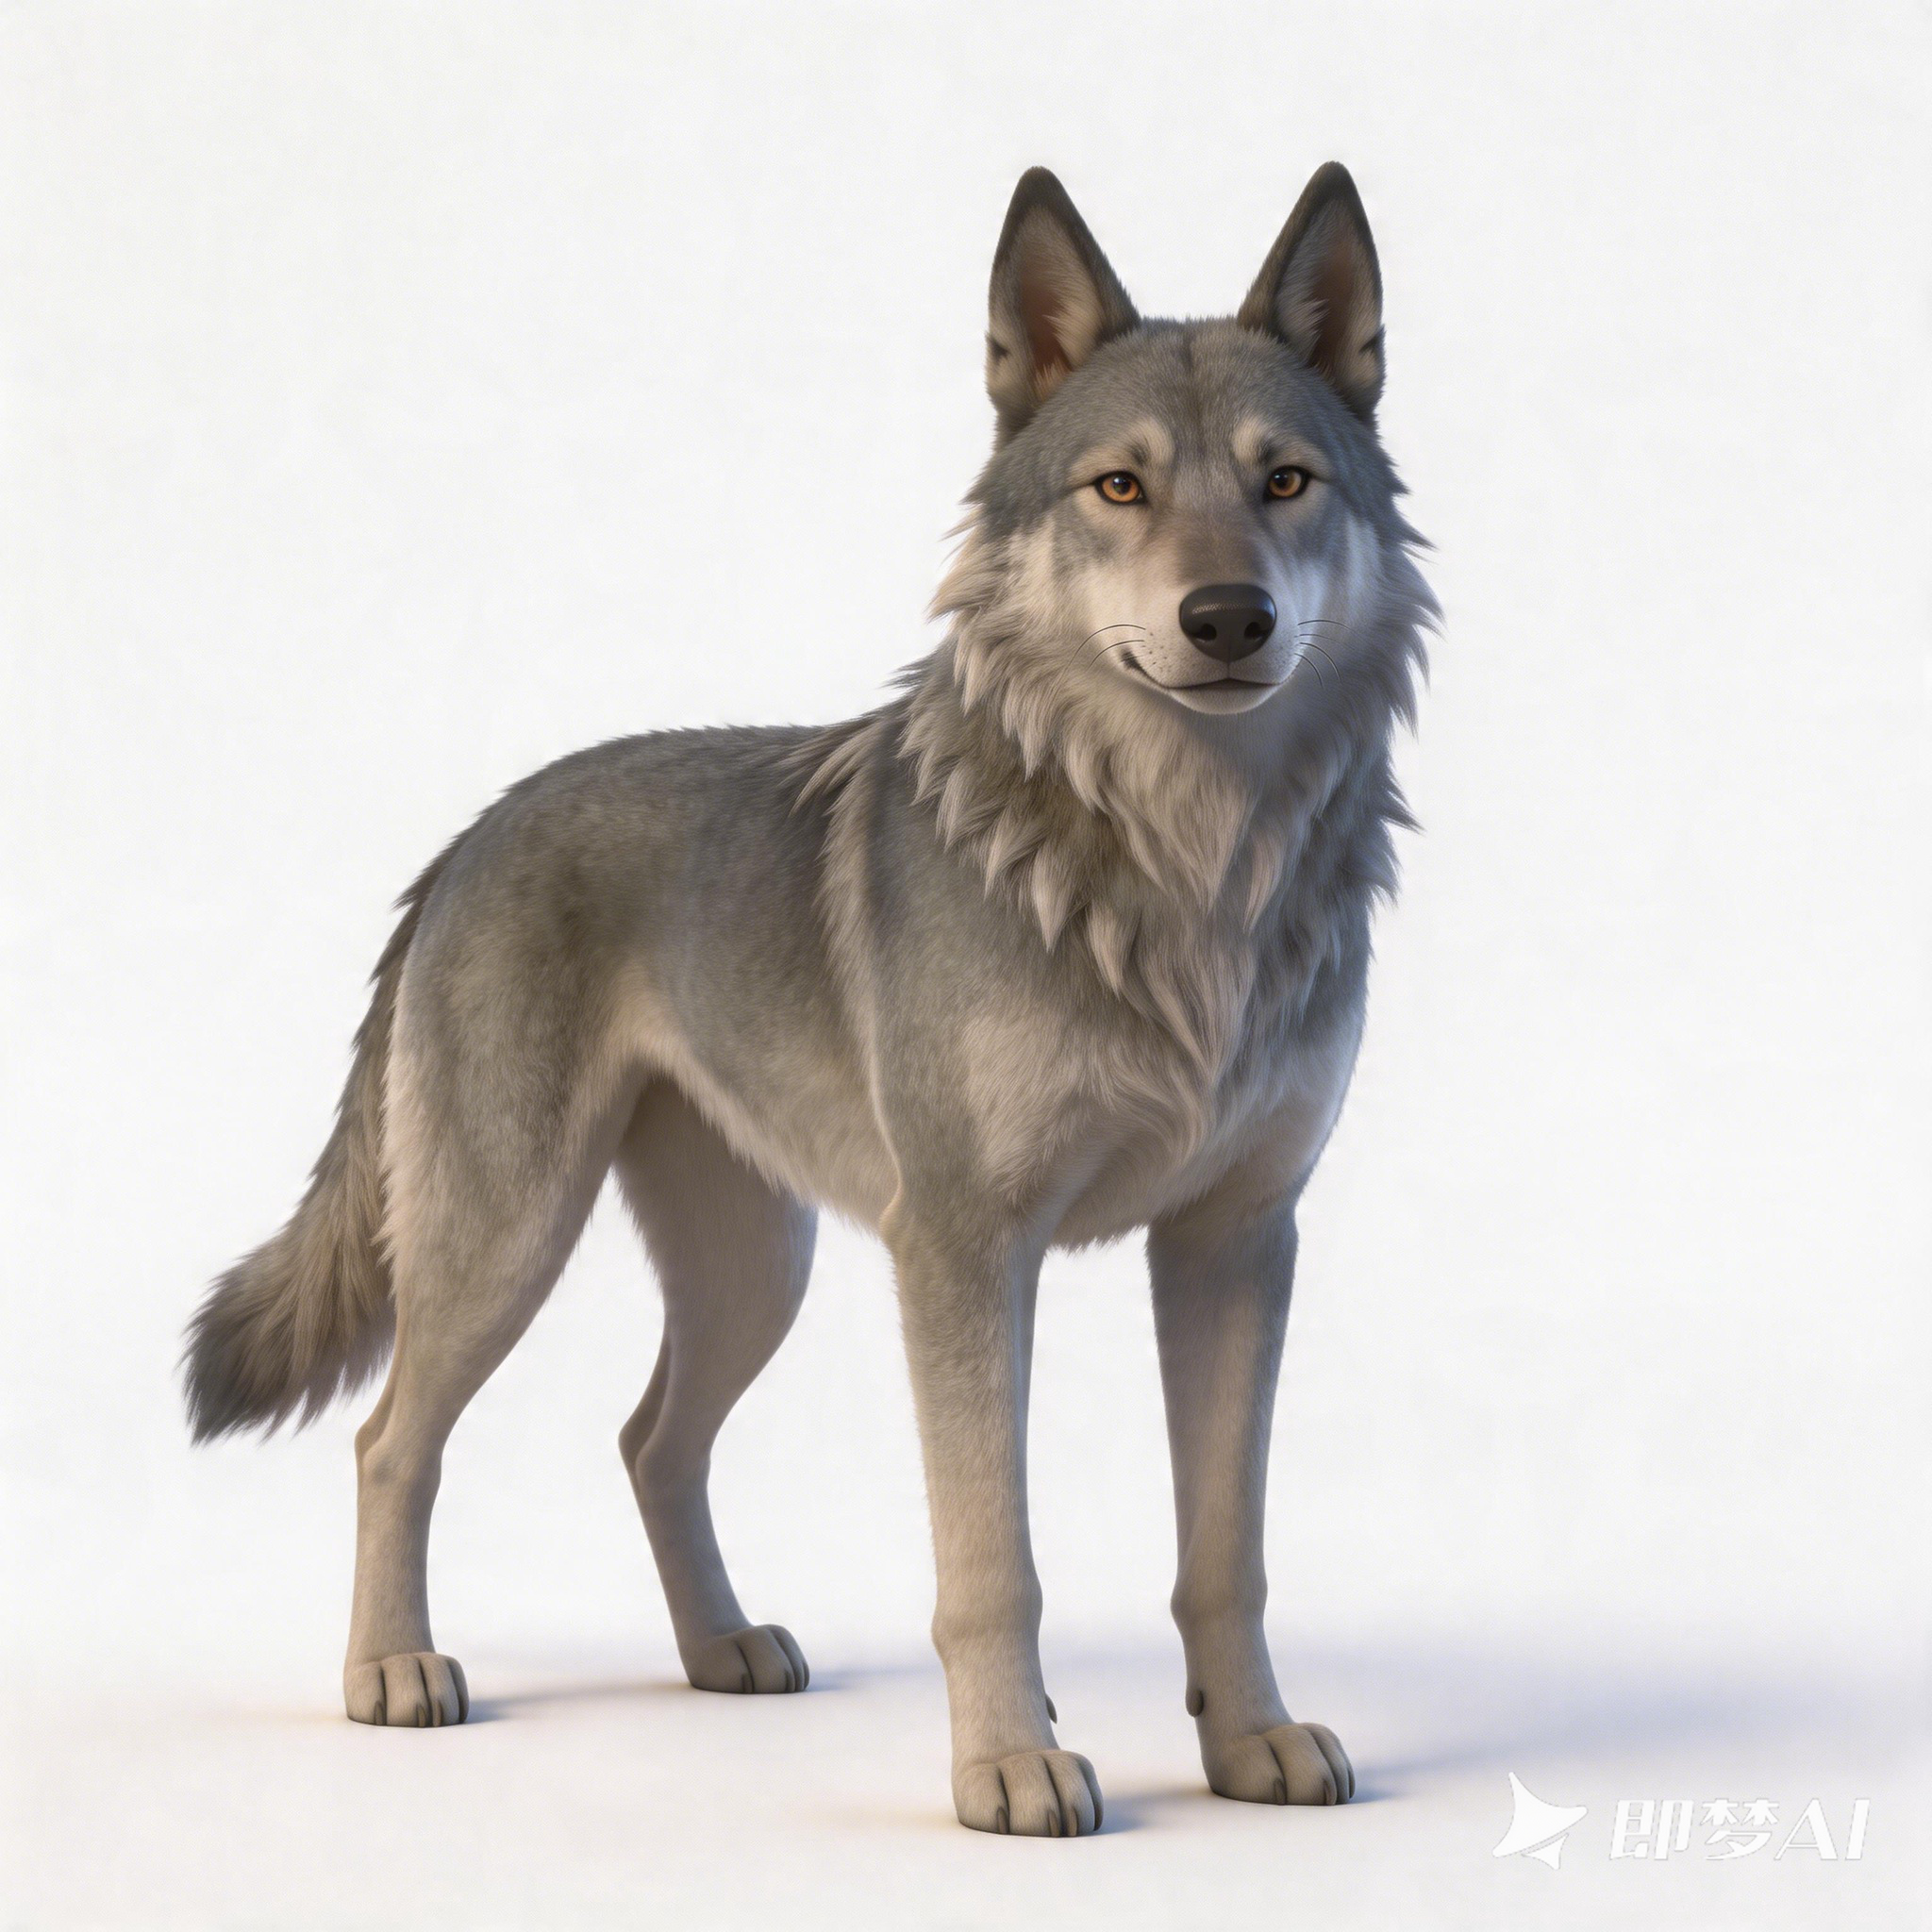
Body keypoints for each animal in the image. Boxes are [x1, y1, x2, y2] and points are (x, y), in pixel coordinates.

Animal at [185, 162, 1433, 1836]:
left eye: (1285, 482)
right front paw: (1009, 1766)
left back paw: (719, 1649)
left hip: (755, 1275)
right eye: (1120, 489)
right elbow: (991, 1560)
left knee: (647, 1438)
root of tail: (472, 833)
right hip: (511, 1243)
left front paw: (1253, 1748)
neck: (1186, 868)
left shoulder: (1235, 1246)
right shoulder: (964, 1251)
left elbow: (1224, 1555)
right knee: (393, 1437)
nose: (1229, 618)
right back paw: (393, 1674)